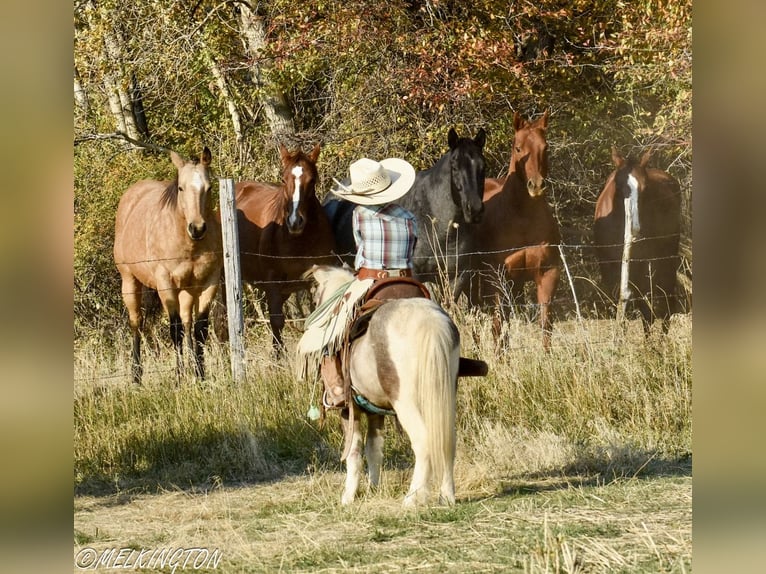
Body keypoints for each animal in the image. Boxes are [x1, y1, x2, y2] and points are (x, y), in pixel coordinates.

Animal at [114, 147, 222, 388]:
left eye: (209, 187)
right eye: (181, 188)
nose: (197, 228)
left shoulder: (209, 283)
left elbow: (200, 329)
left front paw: (200, 375)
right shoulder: (166, 284)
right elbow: (175, 330)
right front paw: (179, 378)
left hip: (187, 290)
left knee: (187, 321)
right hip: (130, 281)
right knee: (137, 323)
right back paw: (136, 377)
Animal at [236, 143, 338, 352]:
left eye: (312, 180)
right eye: (283, 179)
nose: (294, 221)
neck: (298, 242)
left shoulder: (315, 282)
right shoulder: (273, 283)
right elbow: (277, 322)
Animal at [462, 108, 564, 352]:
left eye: (545, 148)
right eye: (518, 148)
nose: (536, 185)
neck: (522, 218)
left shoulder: (548, 274)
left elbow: (546, 324)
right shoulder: (498, 279)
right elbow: (498, 327)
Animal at [592, 147, 684, 338]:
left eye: (645, 187)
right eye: (619, 186)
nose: (635, 228)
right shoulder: (608, 267)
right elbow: (618, 301)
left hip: (665, 259)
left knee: (666, 300)